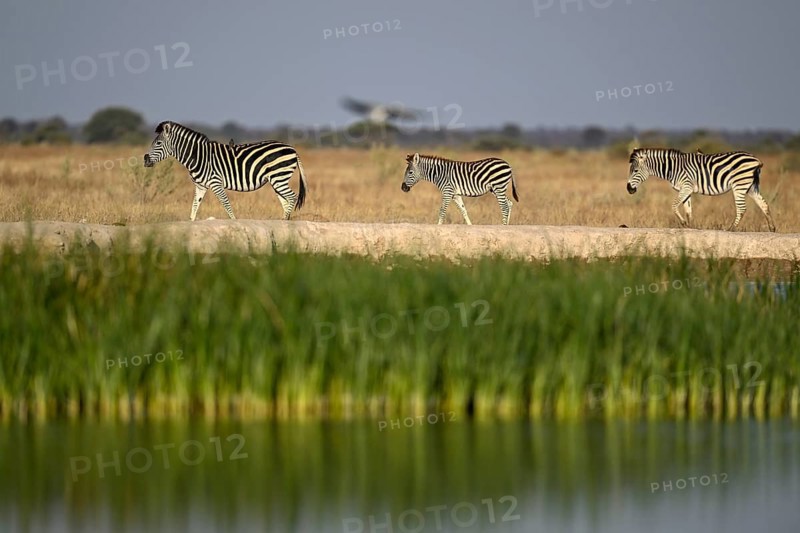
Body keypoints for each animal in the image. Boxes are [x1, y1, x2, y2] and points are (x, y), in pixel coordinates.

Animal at [143, 121, 308, 221]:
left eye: (158, 143)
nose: (145, 160)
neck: (198, 156)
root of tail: (292, 149)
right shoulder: (200, 186)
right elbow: (194, 206)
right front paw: (190, 225)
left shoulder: (216, 182)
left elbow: (226, 204)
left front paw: (234, 223)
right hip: (276, 180)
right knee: (286, 200)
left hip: (279, 176)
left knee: (292, 197)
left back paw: (285, 223)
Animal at [627, 147, 776, 232]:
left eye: (635, 171)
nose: (628, 189)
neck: (673, 168)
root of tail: (756, 160)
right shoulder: (686, 189)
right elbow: (688, 210)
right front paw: (689, 226)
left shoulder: (686, 187)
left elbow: (674, 206)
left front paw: (683, 223)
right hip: (751, 187)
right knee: (764, 205)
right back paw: (772, 228)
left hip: (739, 185)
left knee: (742, 208)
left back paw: (732, 228)